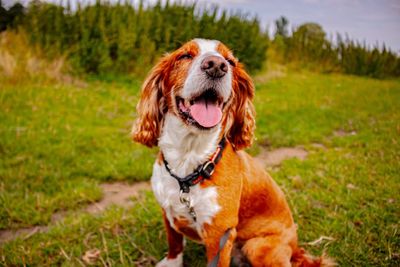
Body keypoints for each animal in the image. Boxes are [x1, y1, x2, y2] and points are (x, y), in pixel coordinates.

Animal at [132, 38, 334, 266]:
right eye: (184, 56)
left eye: (230, 62)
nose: (216, 66)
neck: (188, 162)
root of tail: (295, 247)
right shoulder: (168, 210)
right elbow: (174, 241)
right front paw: (172, 262)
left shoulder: (219, 233)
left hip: (257, 247)